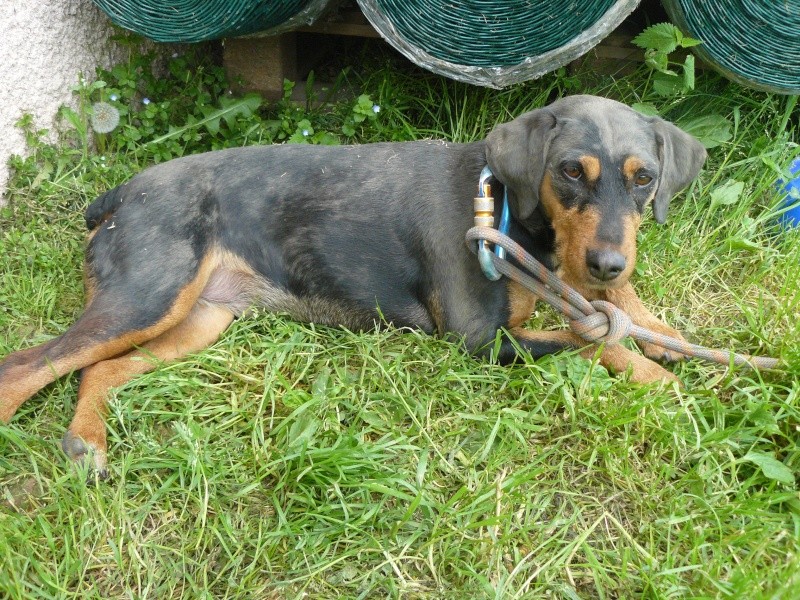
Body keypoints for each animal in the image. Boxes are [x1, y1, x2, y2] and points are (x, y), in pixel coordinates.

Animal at [0, 96, 704, 476]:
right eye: (570, 172)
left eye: (644, 178)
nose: (607, 261)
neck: (506, 207)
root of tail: (122, 193)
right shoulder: (479, 339)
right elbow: (591, 340)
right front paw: (658, 377)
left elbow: (613, 311)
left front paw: (662, 335)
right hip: (148, 295)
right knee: (27, 365)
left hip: (195, 320)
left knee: (98, 369)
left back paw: (87, 441)